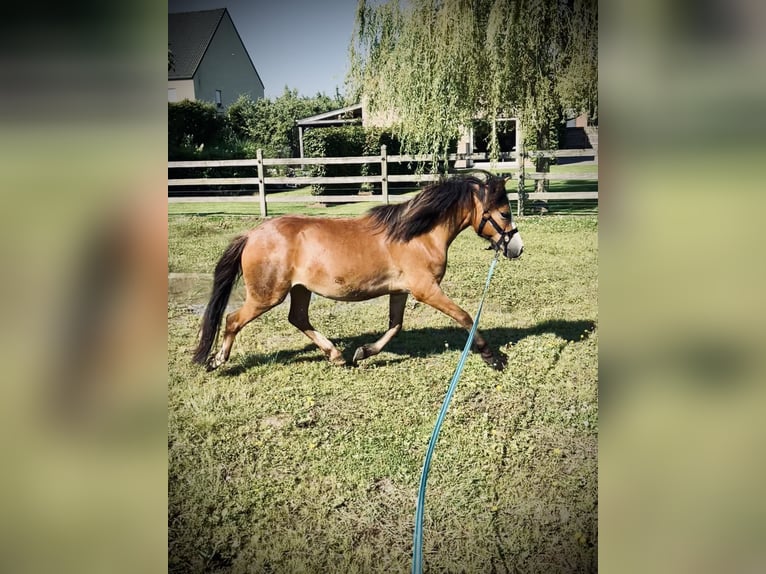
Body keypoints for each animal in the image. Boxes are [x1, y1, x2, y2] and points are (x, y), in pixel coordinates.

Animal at [195, 172, 524, 374]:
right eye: (505, 213)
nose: (517, 248)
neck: (418, 236)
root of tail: (251, 234)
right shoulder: (425, 289)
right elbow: (465, 316)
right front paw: (492, 357)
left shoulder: (400, 290)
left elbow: (395, 326)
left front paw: (363, 352)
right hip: (266, 295)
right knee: (233, 320)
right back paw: (216, 361)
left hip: (300, 290)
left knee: (298, 319)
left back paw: (337, 355)